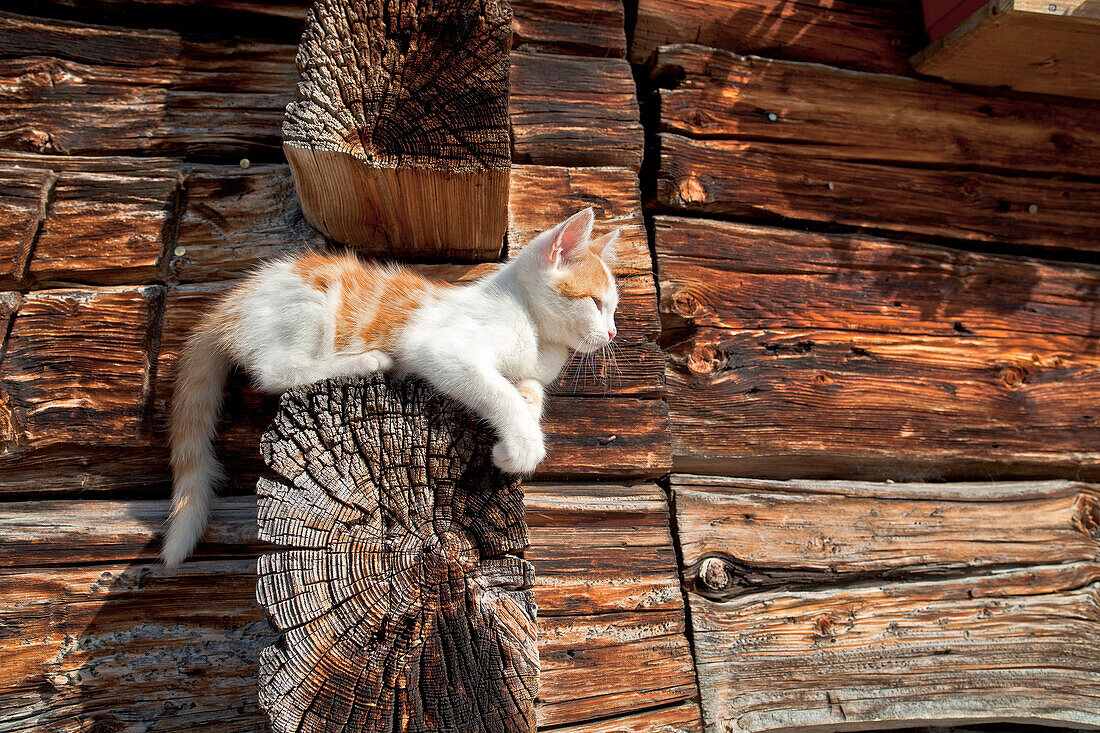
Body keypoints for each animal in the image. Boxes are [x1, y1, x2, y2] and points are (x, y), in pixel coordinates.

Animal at [160, 205, 620, 563]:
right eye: (596, 303)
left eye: (613, 308)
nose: (613, 333)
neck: (534, 327)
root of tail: (234, 300)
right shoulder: (442, 348)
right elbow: (498, 392)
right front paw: (521, 446)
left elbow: (529, 391)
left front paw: (528, 404)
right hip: (310, 306)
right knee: (277, 369)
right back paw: (368, 361)